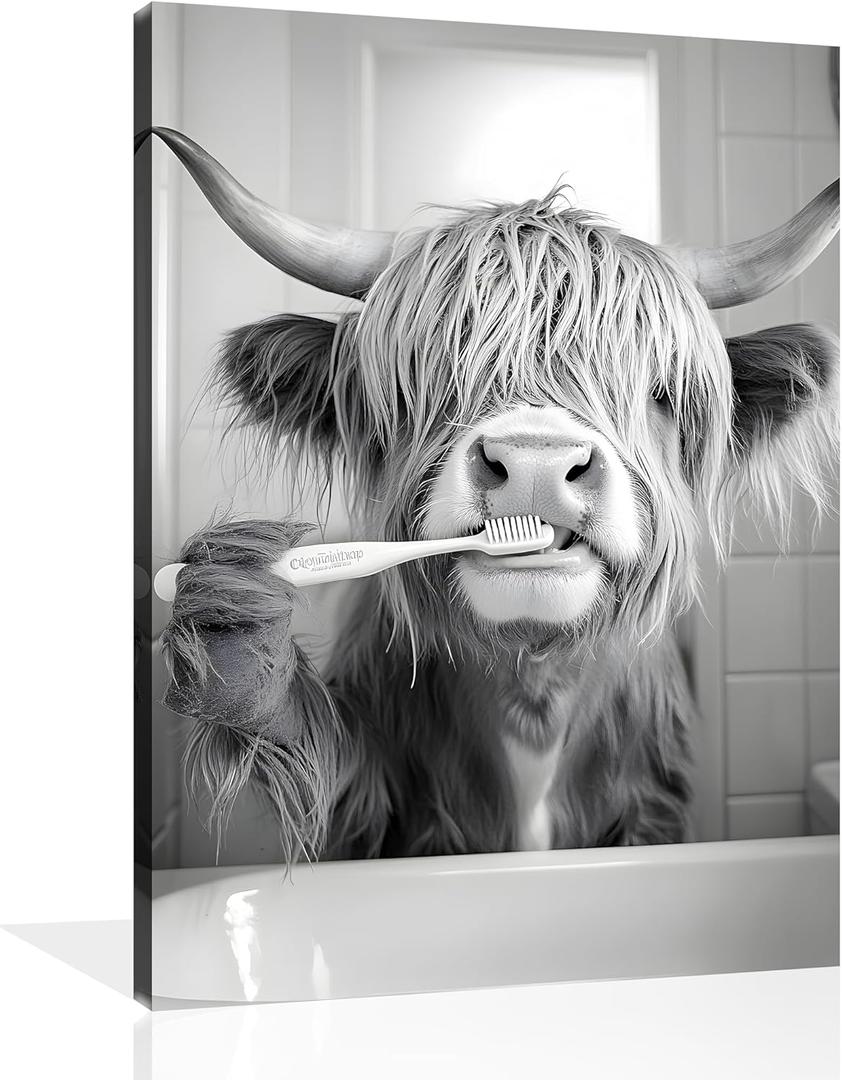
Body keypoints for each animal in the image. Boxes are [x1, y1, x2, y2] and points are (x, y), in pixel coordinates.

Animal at [143, 127, 839, 864]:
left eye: (660, 390)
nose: (536, 465)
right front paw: (236, 627)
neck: (532, 698)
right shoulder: (373, 807)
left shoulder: (656, 805)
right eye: (422, 381)